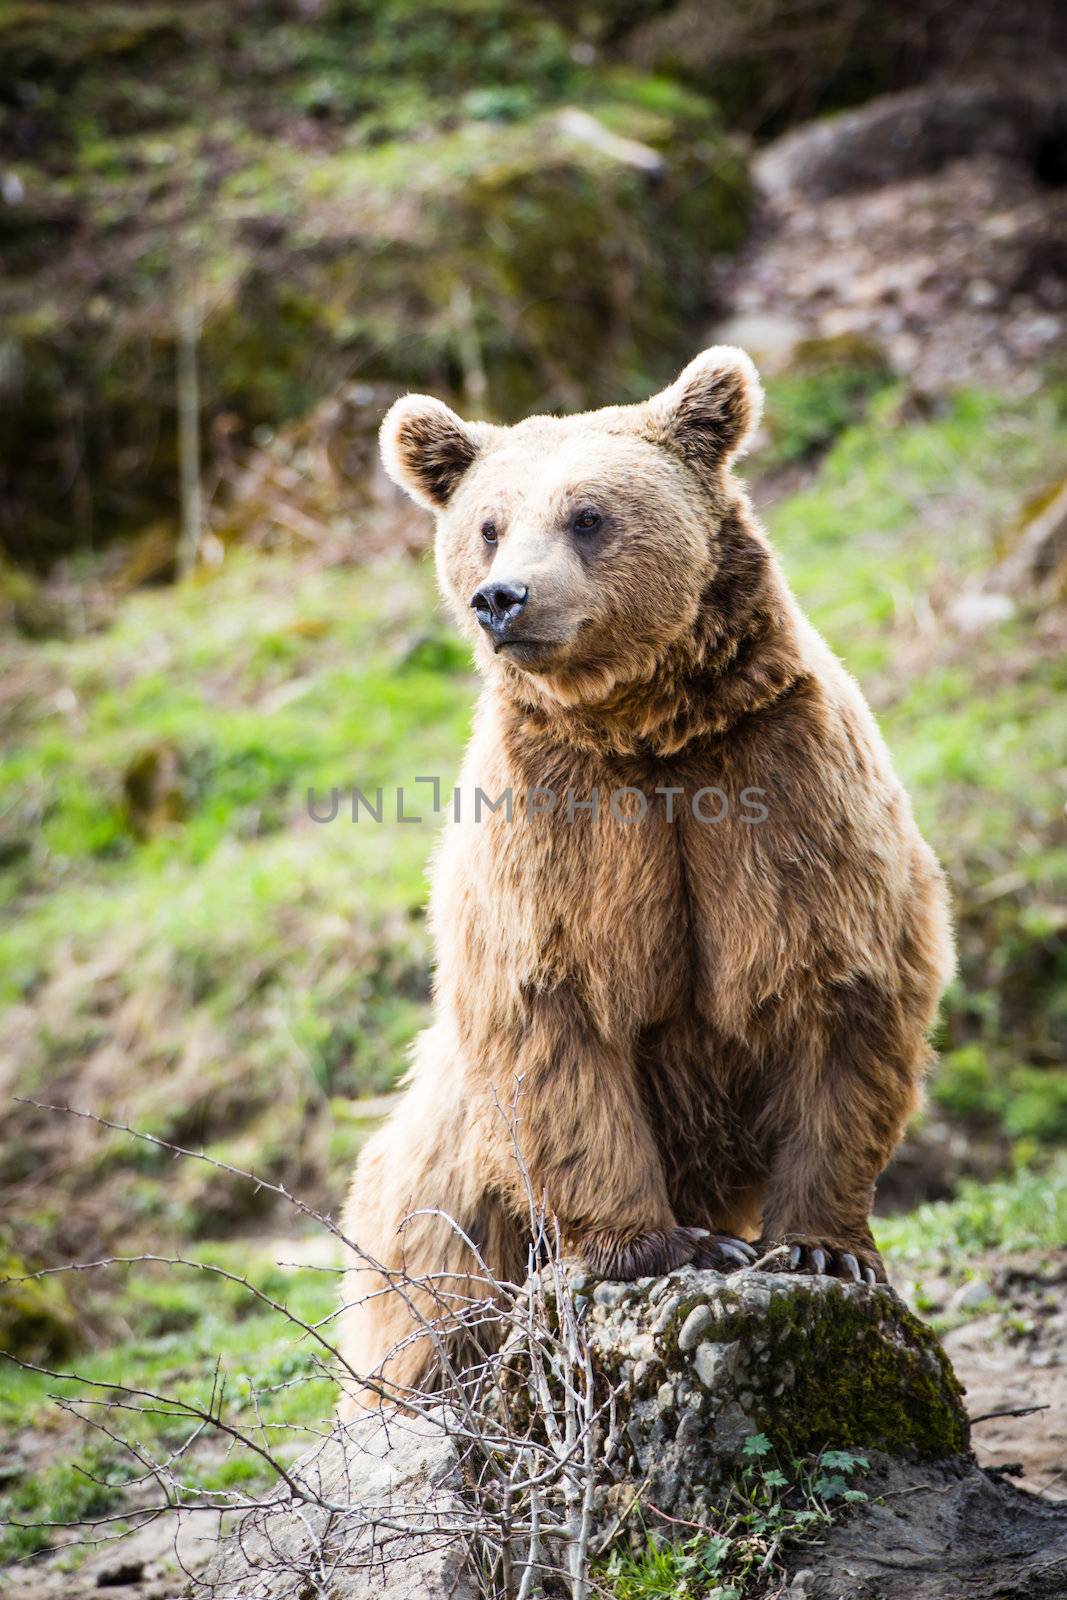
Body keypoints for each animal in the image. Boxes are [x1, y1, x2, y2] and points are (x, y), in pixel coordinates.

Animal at [337, 347, 953, 1401]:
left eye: (587, 515)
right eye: (488, 524)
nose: (502, 597)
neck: (647, 730)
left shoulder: (782, 791)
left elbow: (842, 995)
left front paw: (821, 1248)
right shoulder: (557, 834)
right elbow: (559, 1020)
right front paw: (660, 1246)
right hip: (438, 1190)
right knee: (435, 1296)